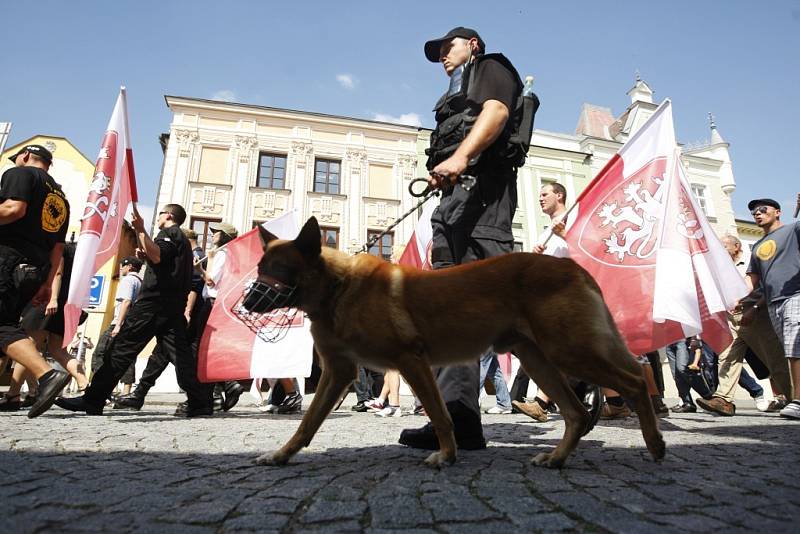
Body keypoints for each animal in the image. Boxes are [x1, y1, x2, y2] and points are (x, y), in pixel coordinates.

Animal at [247, 217, 664, 468]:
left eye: (277, 271)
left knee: (634, 381)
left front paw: (446, 455)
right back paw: (557, 458)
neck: (337, 287)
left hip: (569, 351)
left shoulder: (411, 362)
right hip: (539, 361)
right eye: (259, 268)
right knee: (577, 413)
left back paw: (655, 444)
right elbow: (308, 423)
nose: (248, 303)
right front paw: (281, 455)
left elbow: (440, 414)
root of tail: (571, 266)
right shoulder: (338, 373)